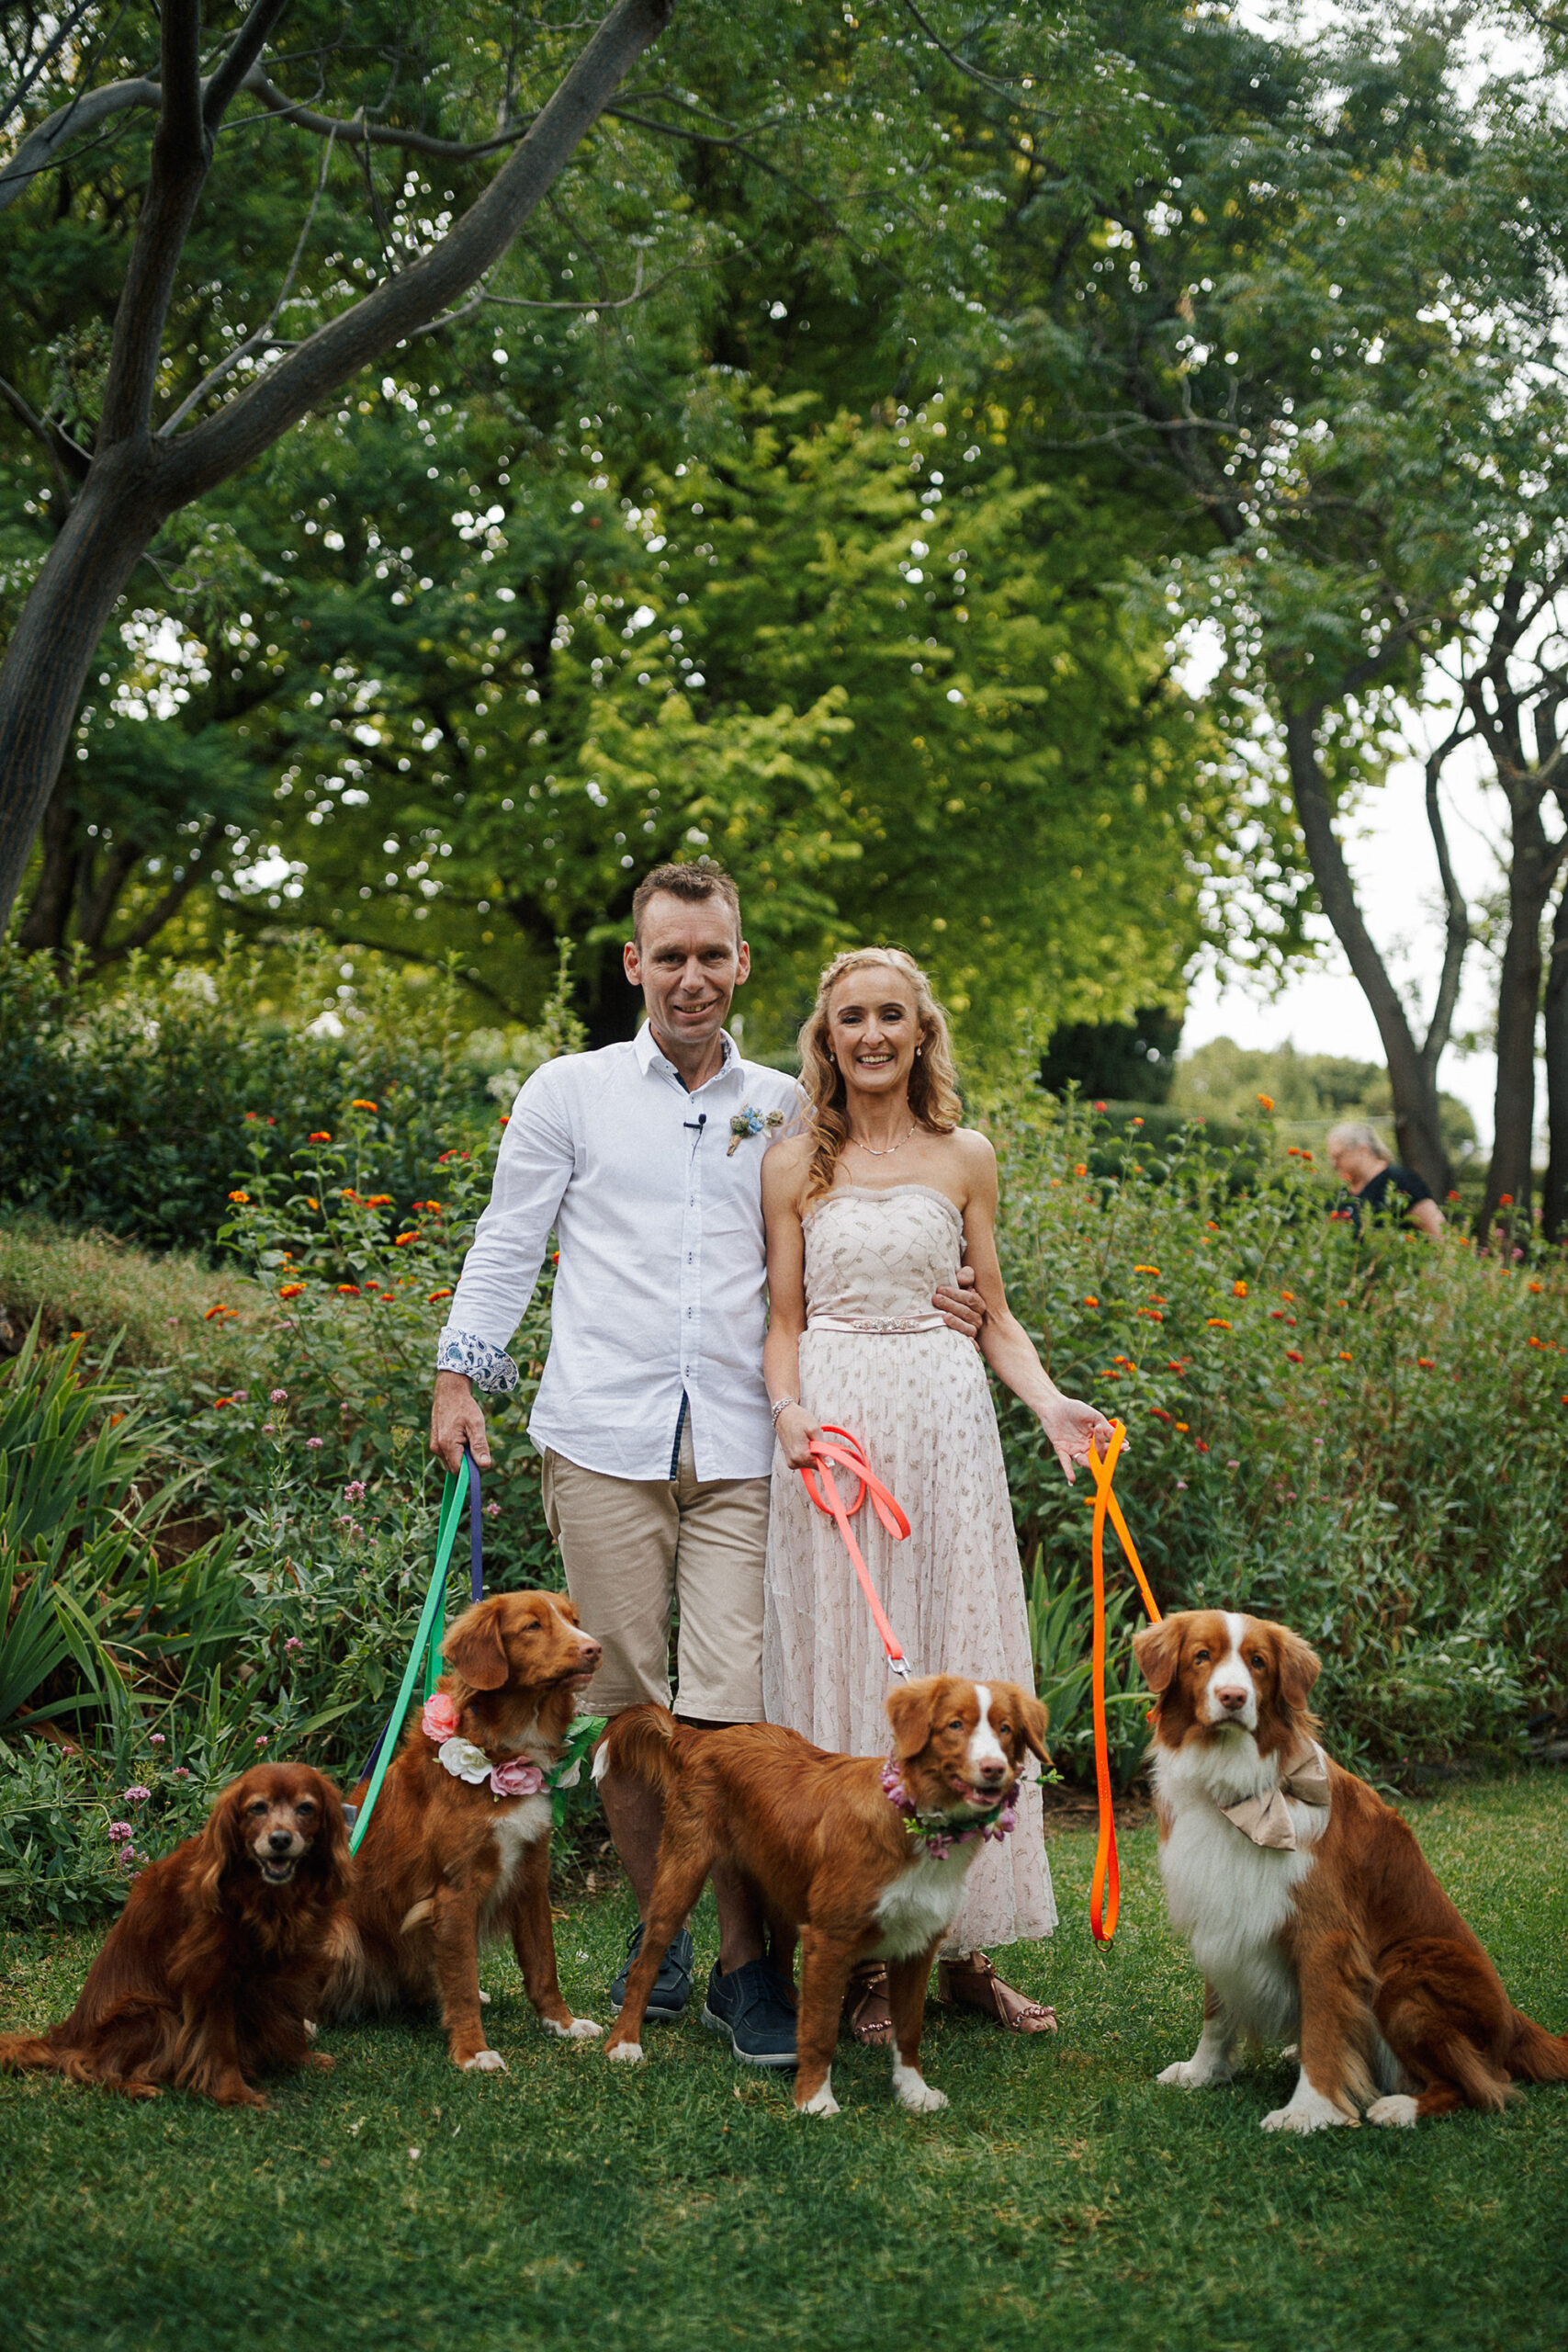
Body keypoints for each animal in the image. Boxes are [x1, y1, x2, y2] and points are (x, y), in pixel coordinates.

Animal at [0, 1769, 350, 2117]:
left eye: (306, 1808)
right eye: (257, 1808)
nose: (280, 1840)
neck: (262, 1895)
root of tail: (66, 2036)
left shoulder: (288, 1965)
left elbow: (289, 2018)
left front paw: (301, 2059)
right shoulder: (210, 1974)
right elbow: (222, 2043)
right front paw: (234, 2093)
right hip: (149, 2013)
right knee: (86, 2065)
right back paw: (134, 2087)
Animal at [321, 1589, 606, 2069]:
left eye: (575, 1621)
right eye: (533, 1626)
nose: (595, 1649)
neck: (505, 1748)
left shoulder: (531, 1875)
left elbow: (543, 1964)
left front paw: (562, 2024)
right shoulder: (455, 1889)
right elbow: (461, 1981)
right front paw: (473, 2050)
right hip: (337, 1930)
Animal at [1142, 1618, 1568, 2135]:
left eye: (1258, 1662)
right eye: (1201, 1656)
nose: (1233, 1697)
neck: (1241, 1791)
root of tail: (1515, 2021)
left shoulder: (1325, 1935)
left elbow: (1325, 2027)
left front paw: (1308, 2110)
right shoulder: (1222, 1913)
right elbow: (1217, 2013)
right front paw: (1203, 2072)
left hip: (1404, 1972)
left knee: (1480, 2085)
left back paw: (1401, 2107)